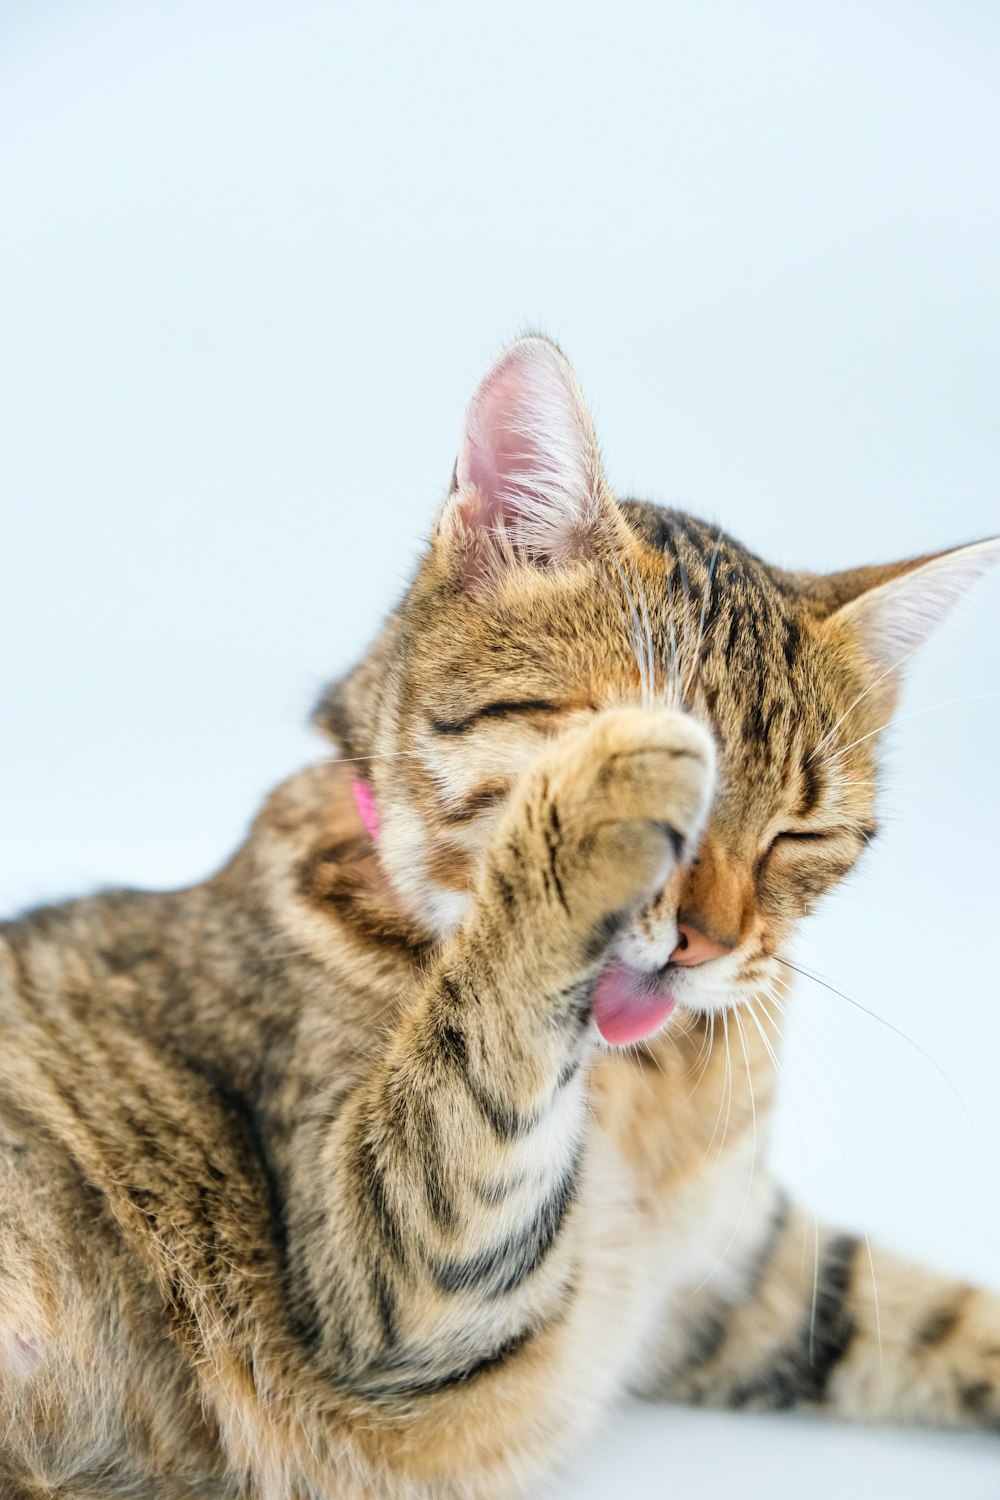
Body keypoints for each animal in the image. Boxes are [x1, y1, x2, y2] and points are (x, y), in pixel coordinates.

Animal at [1, 331, 1000, 1500]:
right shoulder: (381, 1283)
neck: (642, 1087)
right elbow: (478, 1069)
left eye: (800, 835)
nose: (708, 942)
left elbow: (942, 1314)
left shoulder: (751, 1286)